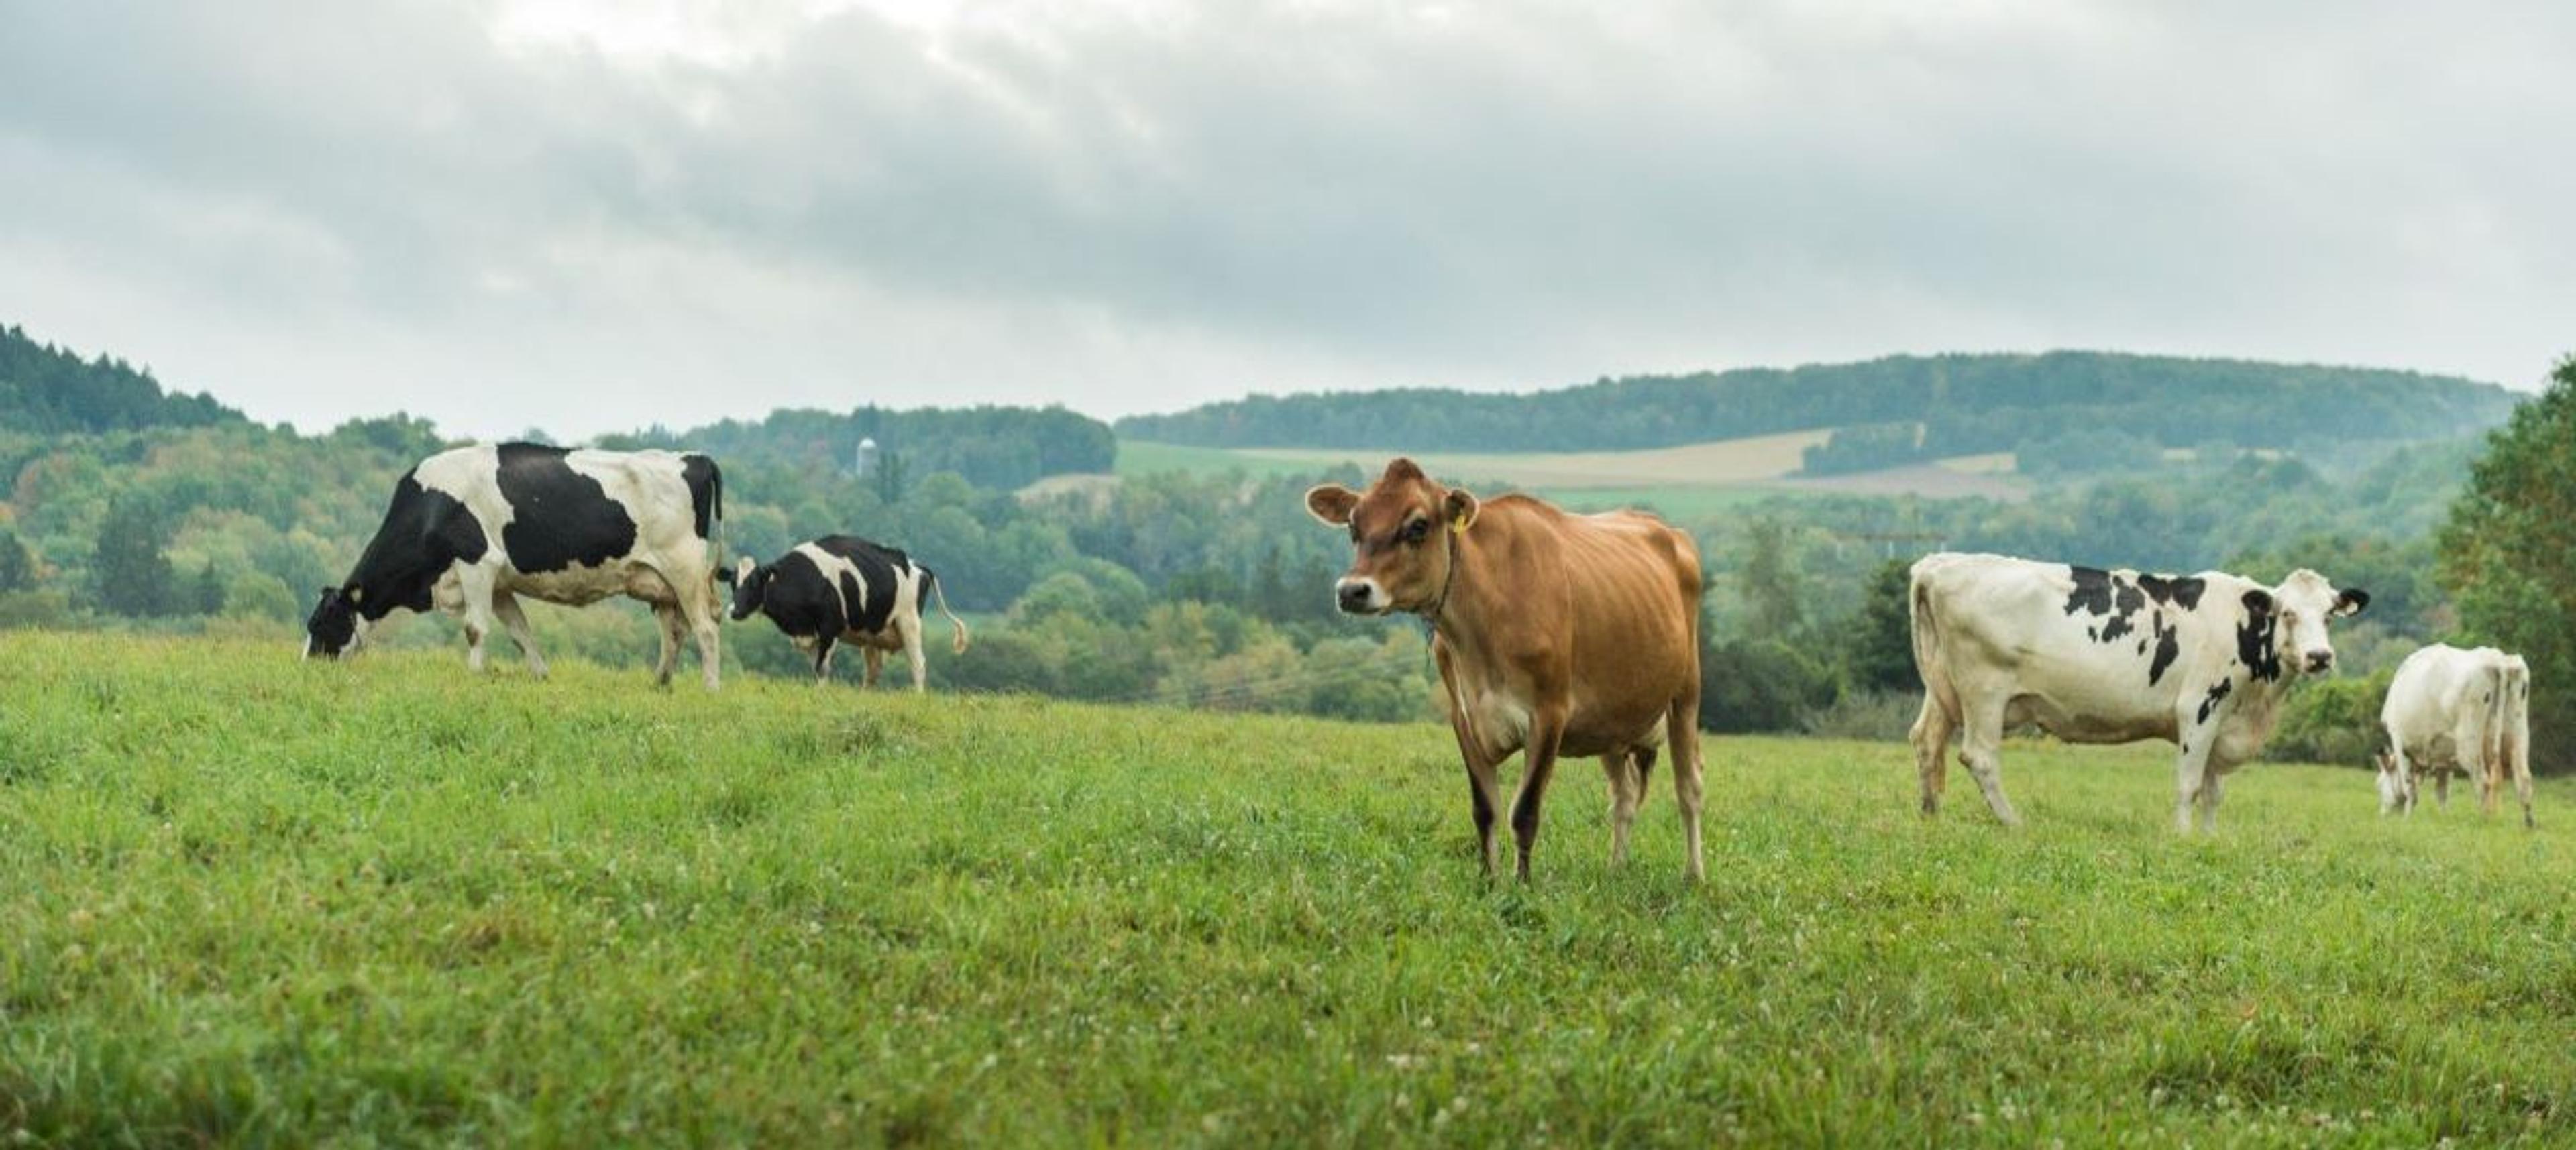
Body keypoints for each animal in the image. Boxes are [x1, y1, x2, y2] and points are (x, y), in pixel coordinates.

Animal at [305, 442, 727, 689]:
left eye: (321, 623)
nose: (308, 667)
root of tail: (694, 458)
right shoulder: (499, 584)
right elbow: (520, 632)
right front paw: (541, 675)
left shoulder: (477, 561)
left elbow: (475, 629)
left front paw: (474, 674)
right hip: (659, 581)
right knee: (674, 631)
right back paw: (660, 683)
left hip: (685, 568)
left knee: (705, 629)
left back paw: (710, 688)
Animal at [726, 536, 969, 691]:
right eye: (732, 583)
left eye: (754, 582)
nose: (733, 611)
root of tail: (915, 564)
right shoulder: (809, 634)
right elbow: (816, 668)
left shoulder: (830, 628)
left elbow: (822, 668)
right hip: (873, 635)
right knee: (873, 671)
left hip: (908, 621)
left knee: (918, 664)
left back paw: (918, 697)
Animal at [1307, 458, 1706, 882]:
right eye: (1354, 526)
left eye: (1418, 525)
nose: (1351, 591)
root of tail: (1665, 529)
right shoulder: (1464, 716)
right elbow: (1485, 810)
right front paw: (1488, 880)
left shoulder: (1549, 714)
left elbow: (1525, 812)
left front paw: (1523, 884)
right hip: (1611, 719)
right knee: (1624, 795)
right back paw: (1616, 868)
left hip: (1686, 694)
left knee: (1689, 788)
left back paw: (1694, 876)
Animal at [1908, 552, 2368, 832]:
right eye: (2286, 613)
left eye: (2330, 614)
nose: (2320, 656)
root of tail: (1940, 564)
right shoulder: (2200, 709)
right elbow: (2190, 785)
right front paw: (2184, 838)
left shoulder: (2223, 722)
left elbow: (2215, 792)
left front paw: (2210, 839)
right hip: (1985, 691)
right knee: (1980, 758)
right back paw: (2014, 824)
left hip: (1943, 688)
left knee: (1927, 742)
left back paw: (1931, 817)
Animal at [2378, 644, 2534, 827]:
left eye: (2379, 785)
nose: (2382, 815)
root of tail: (2497, 658)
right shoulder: (2443, 757)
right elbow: (2442, 792)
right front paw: (2443, 819)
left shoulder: (2399, 740)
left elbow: (2410, 788)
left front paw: (2407, 820)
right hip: (2518, 732)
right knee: (2524, 778)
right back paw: (2529, 825)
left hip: (2469, 744)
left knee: (2484, 782)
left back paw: (2483, 821)